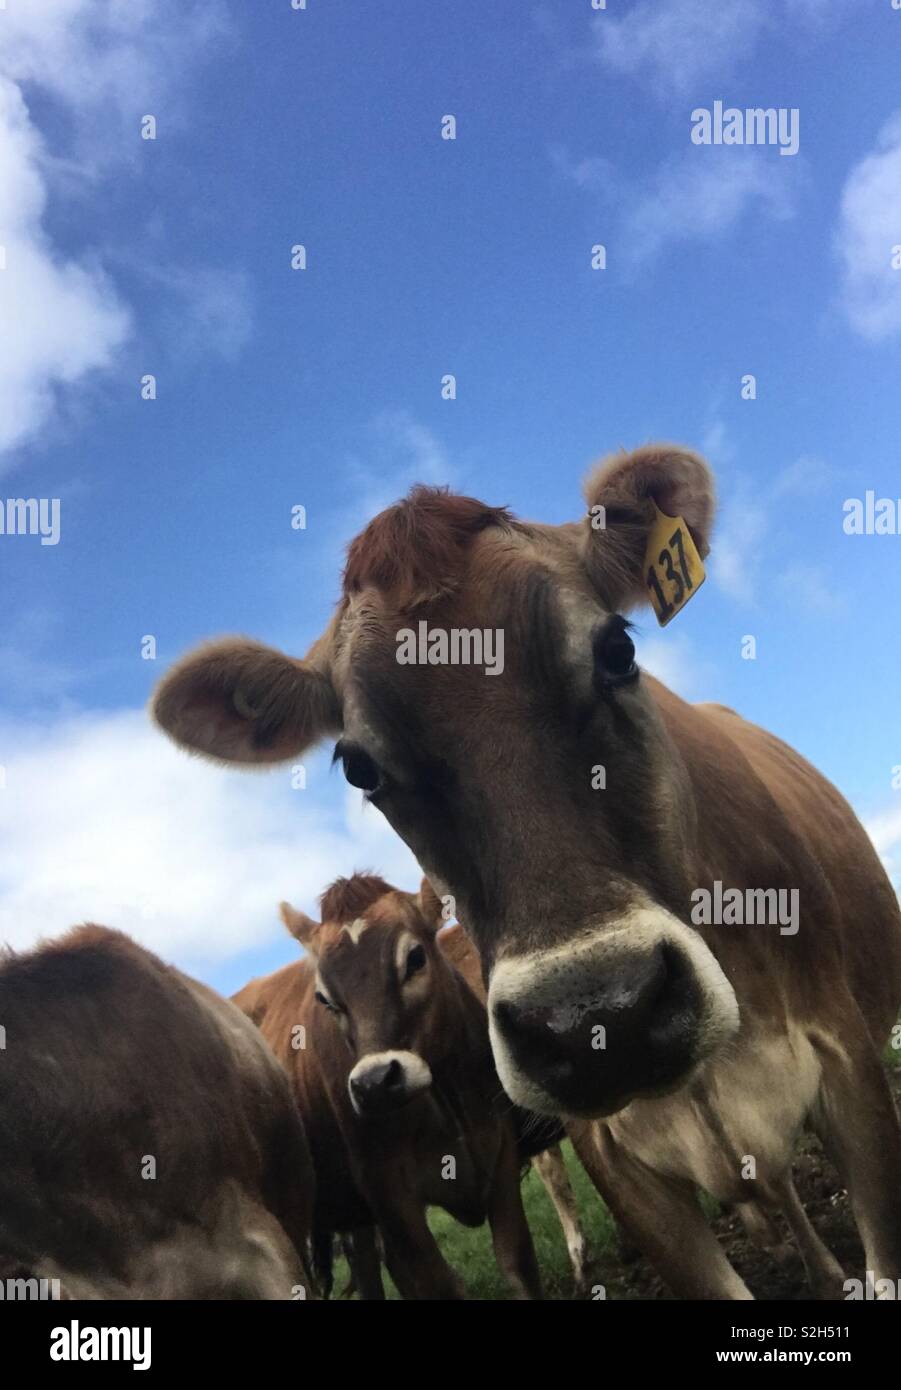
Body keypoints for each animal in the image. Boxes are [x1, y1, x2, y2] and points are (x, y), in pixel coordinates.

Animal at [233, 872, 542, 1300]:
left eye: (415, 958)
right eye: (324, 998)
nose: (375, 1083)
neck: (448, 1102)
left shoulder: (502, 1155)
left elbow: (519, 1263)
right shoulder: (388, 1193)